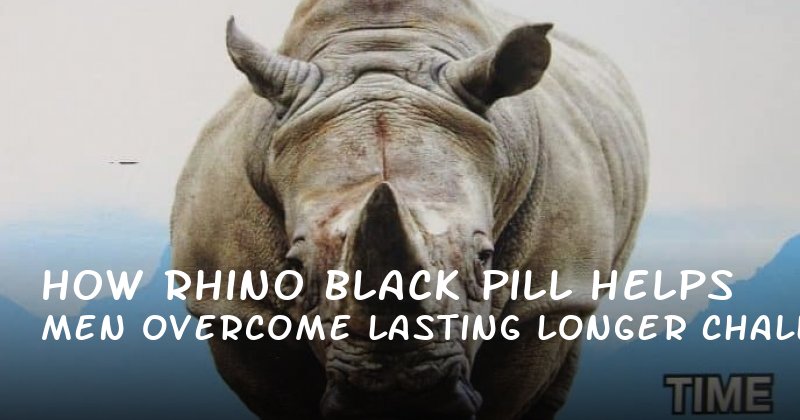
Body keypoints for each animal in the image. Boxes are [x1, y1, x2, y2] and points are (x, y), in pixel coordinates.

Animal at [171, 0, 648, 418]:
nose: (395, 391)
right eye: (295, 268)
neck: (386, 51)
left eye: (485, 259)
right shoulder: (233, 310)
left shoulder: (552, 298)